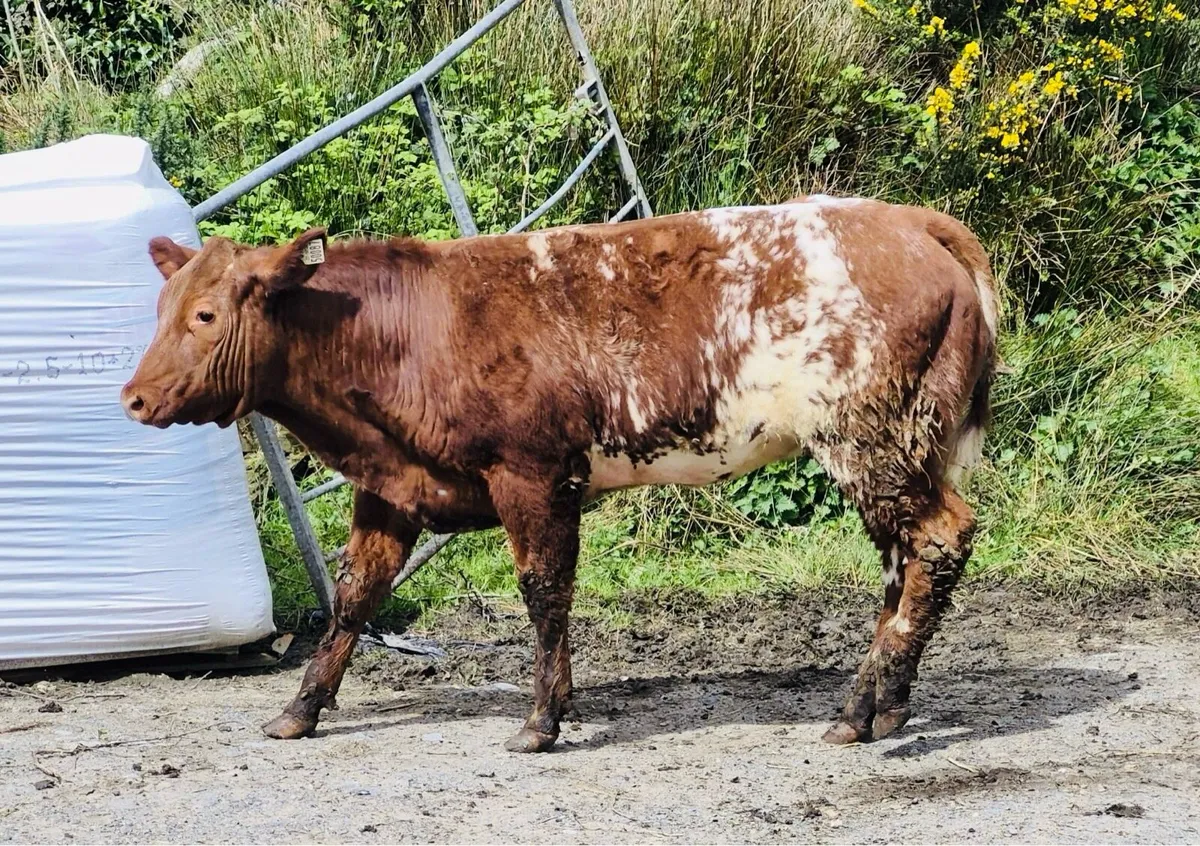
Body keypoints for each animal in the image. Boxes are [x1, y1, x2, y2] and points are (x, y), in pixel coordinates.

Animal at [121, 195, 997, 752]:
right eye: (161, 308)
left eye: (205, 315)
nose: (132, 398)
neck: (403, 329)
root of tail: (912, 221)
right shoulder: (391, 486)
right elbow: (354, 598)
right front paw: (299, 709)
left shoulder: (531, 473)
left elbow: (543, 592)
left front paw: (541, 721)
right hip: (891, 449)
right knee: (901, 565)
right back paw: (874, 707)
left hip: (869, 437)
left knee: (941, 537)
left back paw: (873, 706)